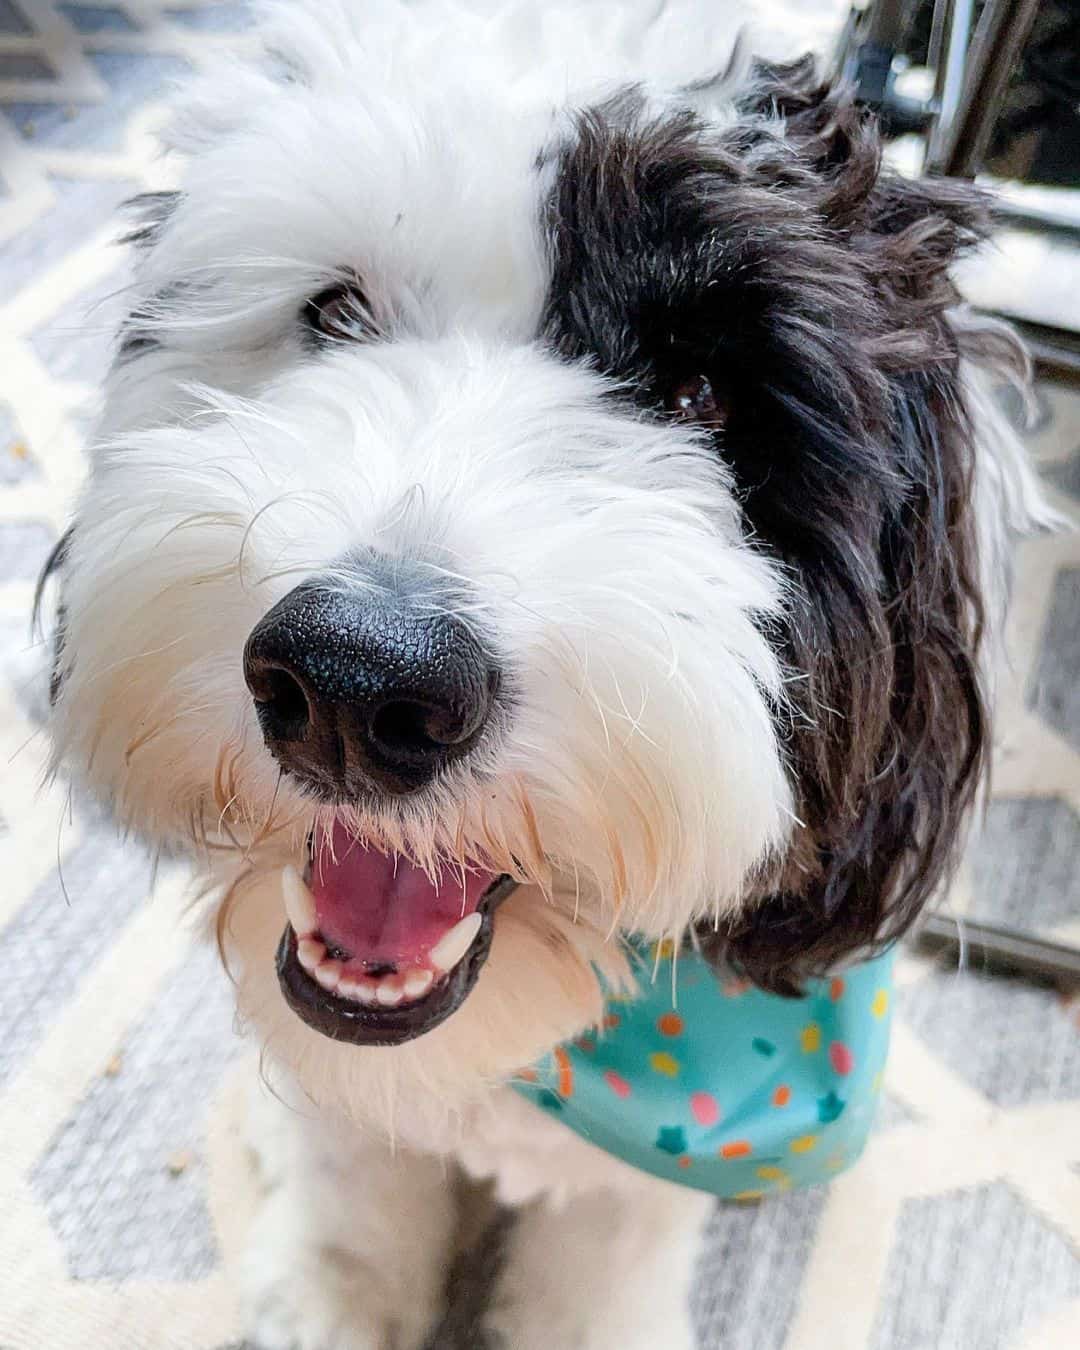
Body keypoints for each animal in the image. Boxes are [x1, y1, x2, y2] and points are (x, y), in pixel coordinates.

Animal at [40, 2, 1047, 1350]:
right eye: (337, 317)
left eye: (701, 393)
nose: (357, 678)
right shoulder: (357, 1107)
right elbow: (352, 1187)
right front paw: (327, 1291)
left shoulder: (639, 1193)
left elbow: (599, 1278)